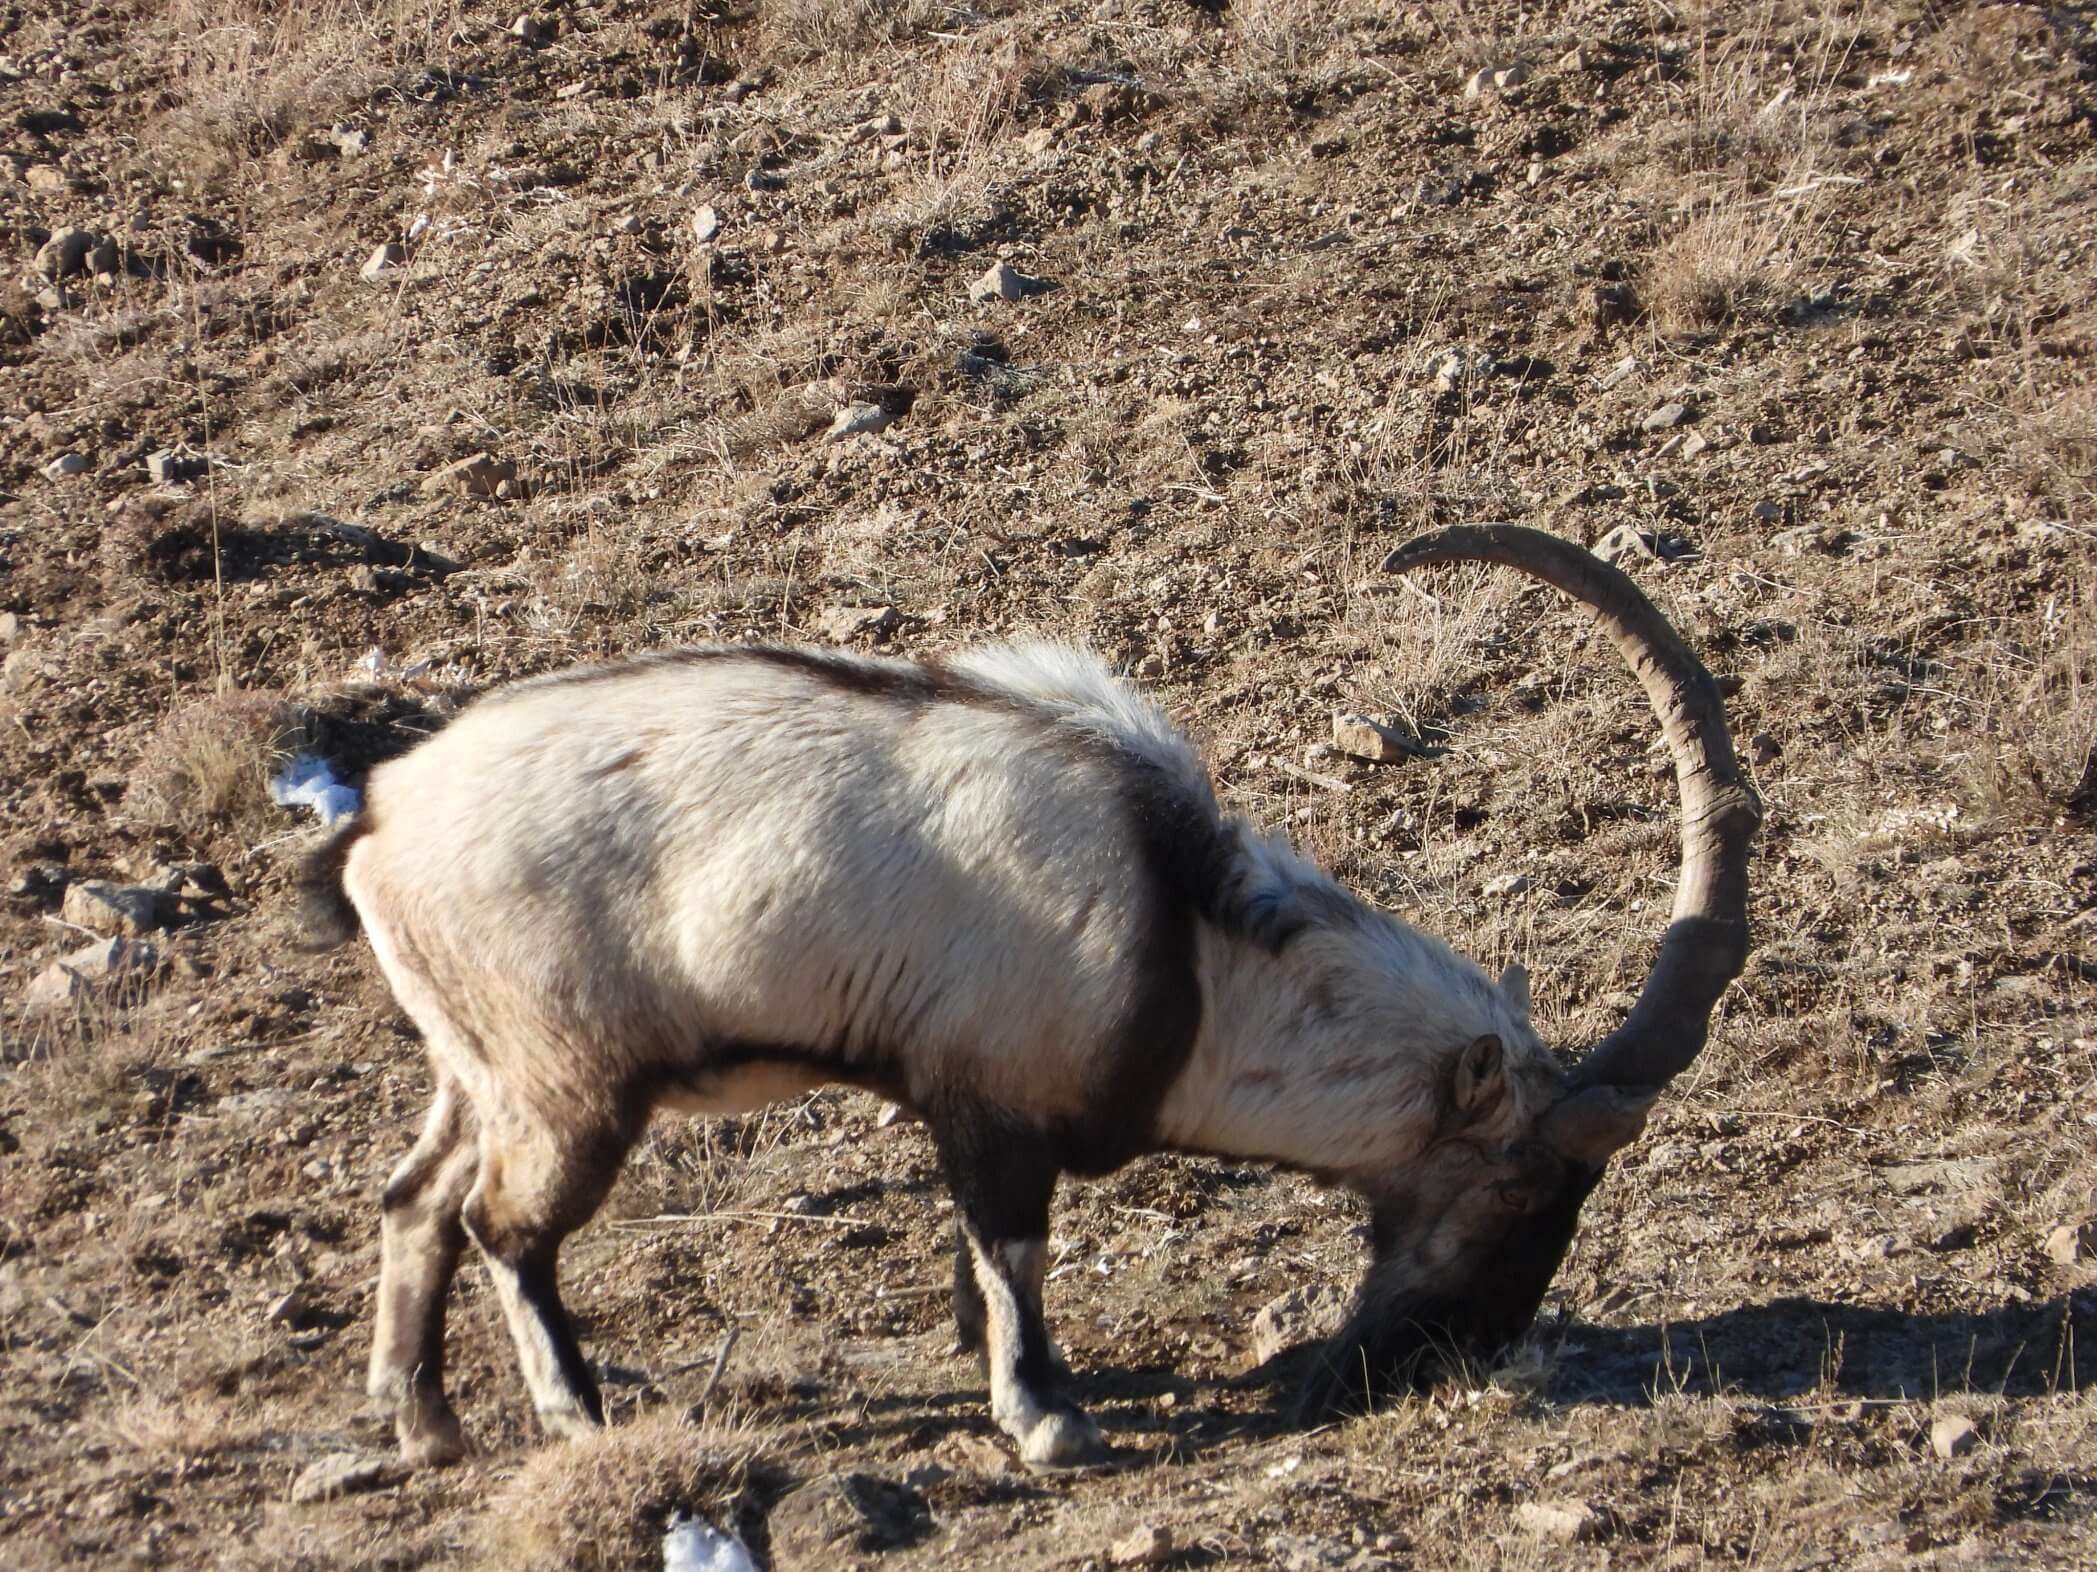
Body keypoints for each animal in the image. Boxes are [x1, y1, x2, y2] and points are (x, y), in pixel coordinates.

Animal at [304, 530, 1761, 1475]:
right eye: (1516, 1184)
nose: (1445, 1354)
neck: (1187, 942)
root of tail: (377, 820)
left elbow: (979, 1259)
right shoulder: (987, 1102)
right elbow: (1014, 1248)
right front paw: (1047, 1416)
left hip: (475, 1065)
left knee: (415, 1199)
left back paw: (424, 1422)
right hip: (567, 1083)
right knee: (503, 1224)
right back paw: (575, 1418)